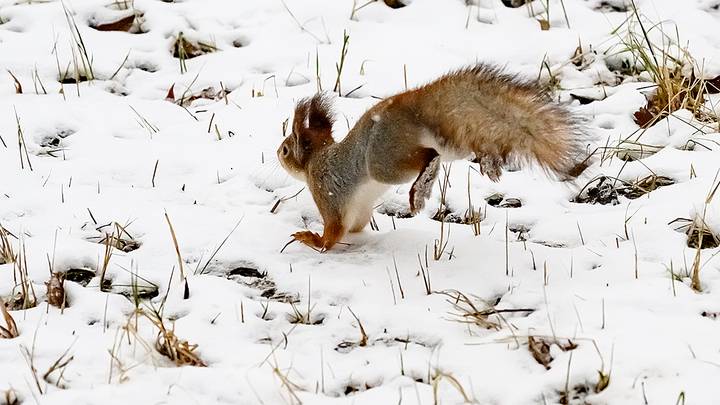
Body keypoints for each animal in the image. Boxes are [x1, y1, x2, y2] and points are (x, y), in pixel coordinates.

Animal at [278, 63, 592, 251]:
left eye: (285, 149)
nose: (276, 155)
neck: (315, 160)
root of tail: (410, 107)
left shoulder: (325, 189)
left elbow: (333, 232)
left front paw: (313, 239)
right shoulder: (358, 208)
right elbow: (355, 225)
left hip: (385, 161)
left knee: (427, 157)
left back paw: (423, 184)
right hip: (452, 137)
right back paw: (486, 160)